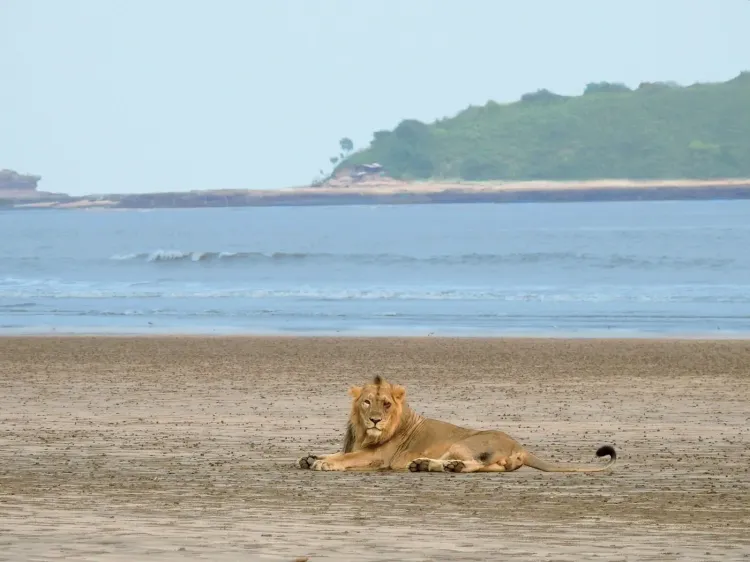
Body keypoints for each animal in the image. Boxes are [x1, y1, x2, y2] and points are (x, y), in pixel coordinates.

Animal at [297, 375, 617, 473]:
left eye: (385, 404)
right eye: (367, 402)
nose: (376, 419)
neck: (365, 433)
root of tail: (520, 446)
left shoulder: (379, 457)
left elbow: (347, 458)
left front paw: (324, 463)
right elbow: (338, 452)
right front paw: (311, 457)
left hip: (464, 442)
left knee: (474, 464)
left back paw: (442, 465)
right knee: (490, 469)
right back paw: (426, 465)